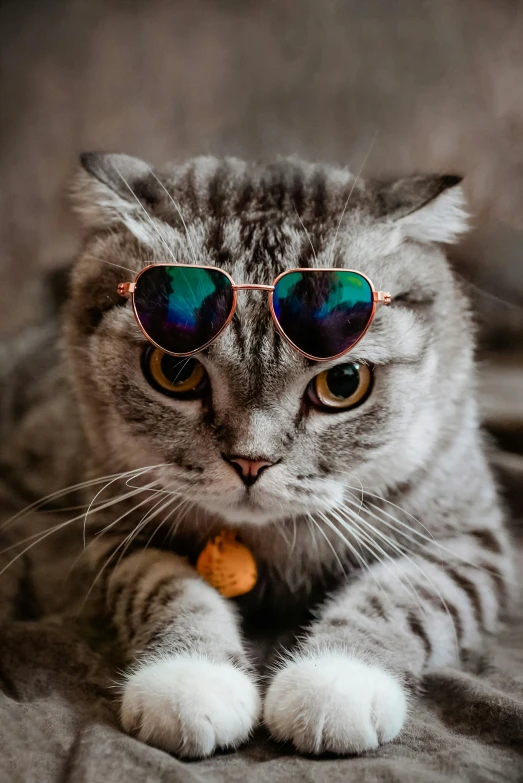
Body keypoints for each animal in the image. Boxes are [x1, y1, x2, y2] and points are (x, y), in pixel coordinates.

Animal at [5, 153, 516, 760]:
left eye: (345, 381)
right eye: (174, 370)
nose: (250, 462)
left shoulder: (470, 539)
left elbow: (402, 596)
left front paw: (335, 681)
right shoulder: (112, 528)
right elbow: (165, 585)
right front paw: (190, 678)